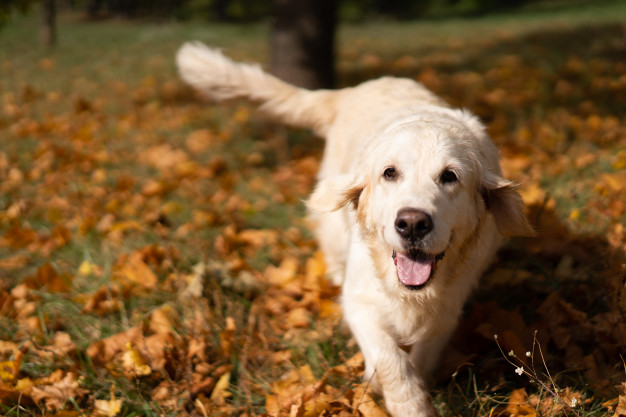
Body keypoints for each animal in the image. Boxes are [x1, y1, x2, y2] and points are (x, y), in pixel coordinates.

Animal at [176, 43, 532, 416]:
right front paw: (405, 401)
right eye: (390, 173)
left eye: (450, 176)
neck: (410, 293)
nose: (412, 223)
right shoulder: (359, 299)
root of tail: (349, 91)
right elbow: (389, 359)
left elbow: (422, 353)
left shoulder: (448, 308)